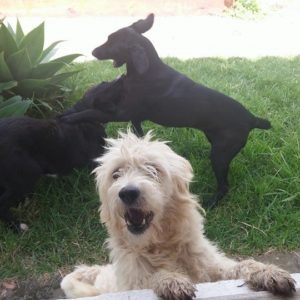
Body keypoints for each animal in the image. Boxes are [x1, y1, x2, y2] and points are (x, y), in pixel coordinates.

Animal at [61, 131, 296, 300]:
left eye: (153, 170)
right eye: (116, 173)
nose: (128, 192)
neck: (161, 246)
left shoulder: (212, 269)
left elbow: (241, 264)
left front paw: (268, 272)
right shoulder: (133, 284)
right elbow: (151, 277)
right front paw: (171, 280)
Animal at [86, 13, 272, 206]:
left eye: (111, 42)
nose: (93, 52)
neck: (146, 71)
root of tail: (251, 119)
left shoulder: (121, 113)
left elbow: (88, 112)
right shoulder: (134, 116)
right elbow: (138, 134)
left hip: (220, 154)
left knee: (224, 186)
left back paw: (211, 202)